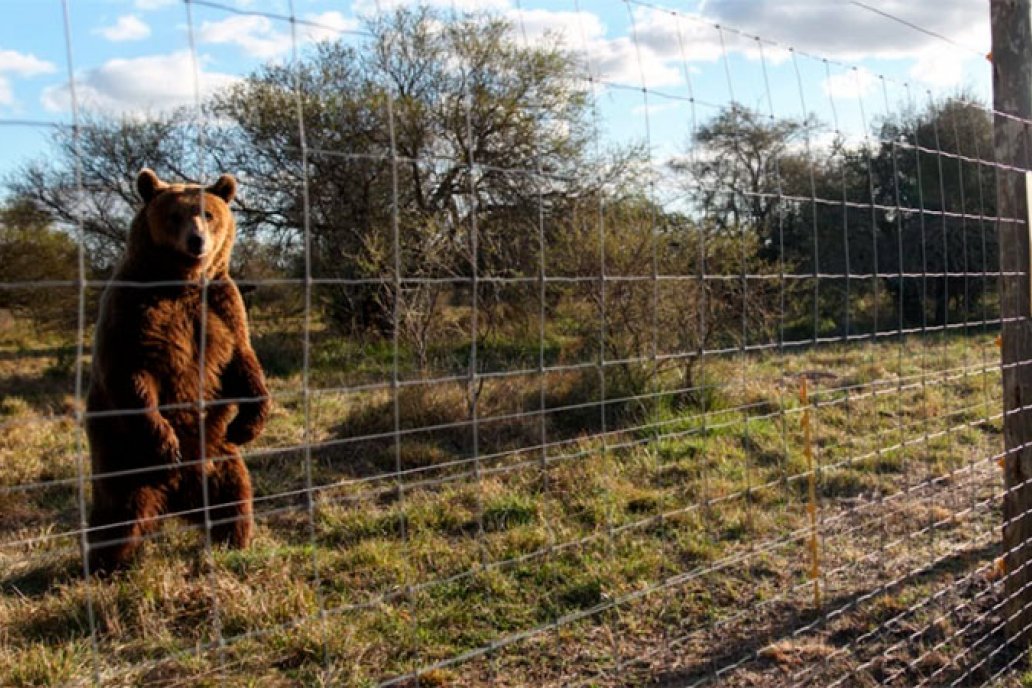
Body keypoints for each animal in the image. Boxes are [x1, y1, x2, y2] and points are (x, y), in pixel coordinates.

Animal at [85, 168, 270, 573]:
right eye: (175, 215)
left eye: (209, 214)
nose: (196, 240)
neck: (182, 282)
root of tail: (176, 500)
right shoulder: (137, 311)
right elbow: (133, 375)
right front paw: (167, 443)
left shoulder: (222, 307)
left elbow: (244, 363)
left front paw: (247, 424)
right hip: (124, 464)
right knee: (117, 518)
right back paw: (103, 565)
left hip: (220, 460)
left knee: (235, 500)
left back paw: (236, 542)